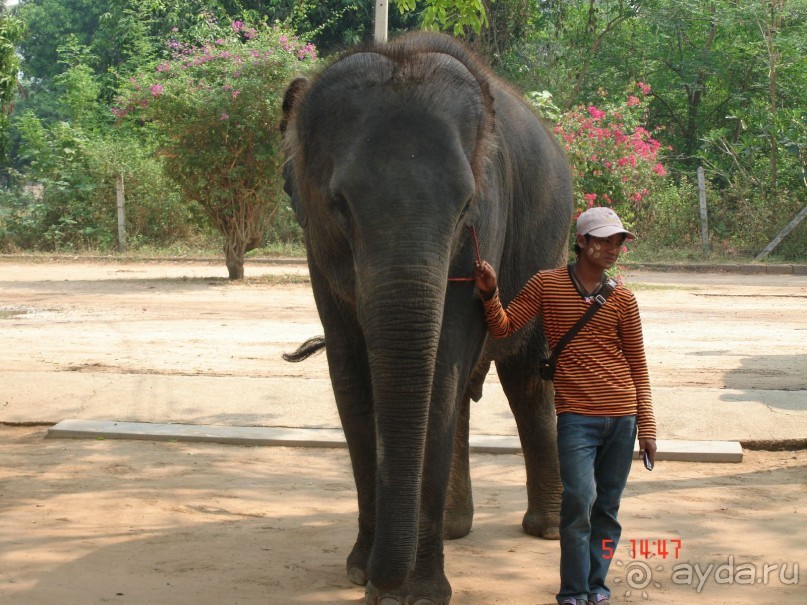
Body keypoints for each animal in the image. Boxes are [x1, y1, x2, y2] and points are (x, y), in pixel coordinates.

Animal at [284, 31, 576, 604]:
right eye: (338, 204)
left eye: (466, 206)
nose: (379, 584)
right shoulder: (317, 252)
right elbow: (351, 377)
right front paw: (359, 571)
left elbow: (441, 367)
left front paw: (413, 593)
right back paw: (456, 529)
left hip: (550, 246)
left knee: (525, 377)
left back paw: (549, 529)